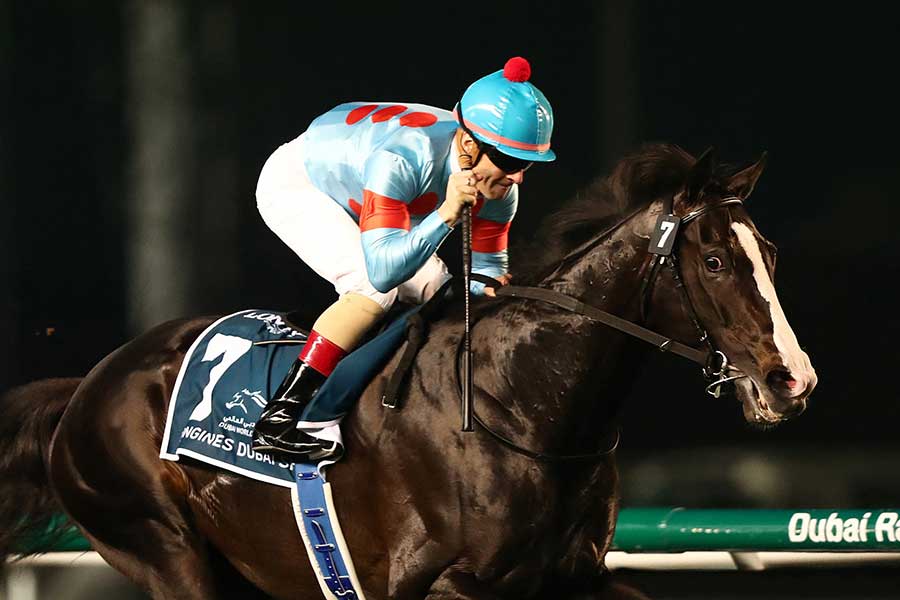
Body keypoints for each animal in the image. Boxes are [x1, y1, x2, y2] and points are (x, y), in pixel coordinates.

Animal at [0, 143, 817, 599]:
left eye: (771, 254)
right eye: (716, 260)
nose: (792, 381)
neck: (525, 404)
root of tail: (89, 385)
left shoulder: (576, 576)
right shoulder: (444, 582)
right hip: (162, 548)